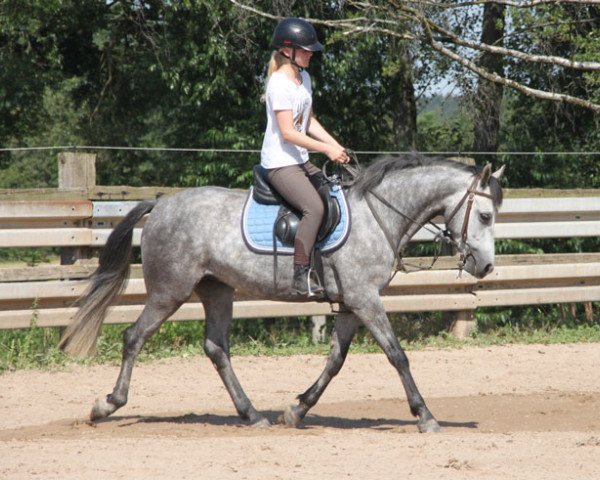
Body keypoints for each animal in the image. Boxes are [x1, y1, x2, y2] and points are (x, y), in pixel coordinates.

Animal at [59, 156, 502, 434]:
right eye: (484, 215)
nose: (485, 267)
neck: (379, 216)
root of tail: (161, 205)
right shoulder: (365, 299)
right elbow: (397, 355)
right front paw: (425, 416)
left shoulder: (351, 304)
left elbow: (336, 360)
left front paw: (297, 409)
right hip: (170, 292)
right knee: (134, 337)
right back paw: (107, 404)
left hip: (217, 290)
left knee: (216, 348)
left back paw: (252, 414)